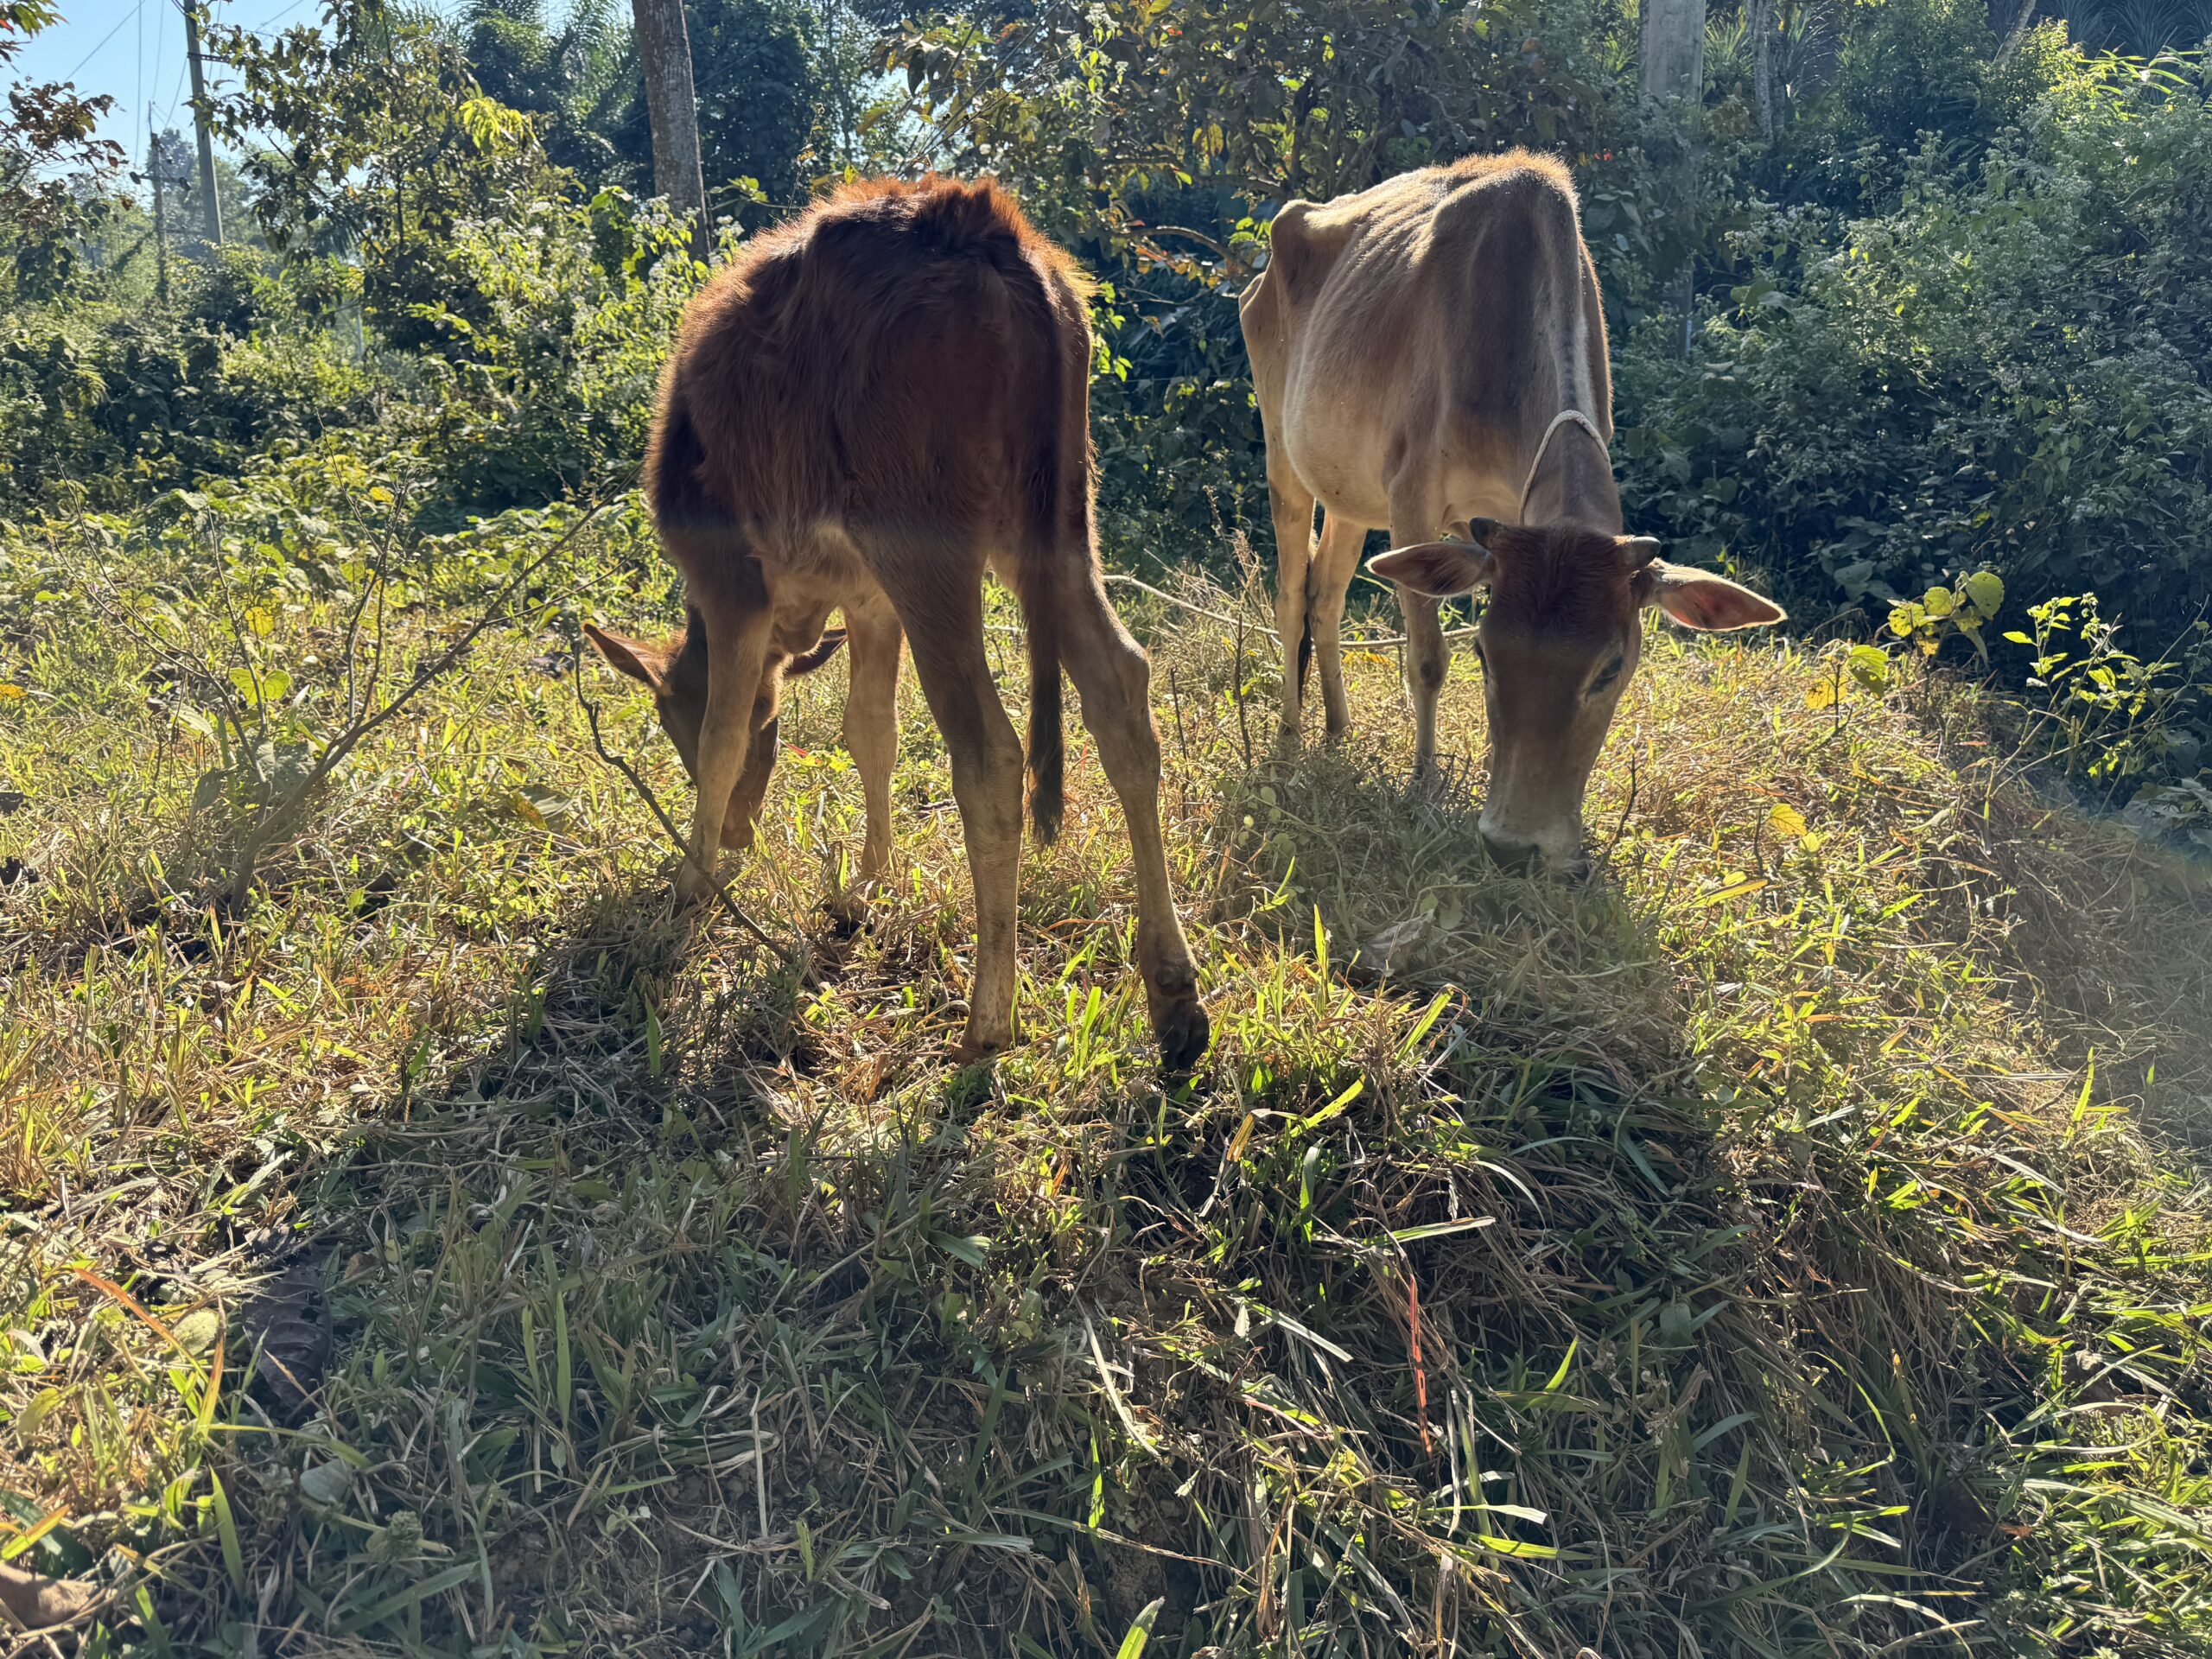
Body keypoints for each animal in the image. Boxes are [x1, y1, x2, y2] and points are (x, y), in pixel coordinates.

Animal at [585, 177, 1209, 1071]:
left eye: (665, 721)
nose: (739, 834)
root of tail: (985, 225)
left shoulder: (732, 579)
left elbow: (725, 736)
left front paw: (693, 883)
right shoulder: (869, 600)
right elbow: (867, 731)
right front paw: (867, 883)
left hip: (927, 542)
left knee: (990, 754)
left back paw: (989, 1020)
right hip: (1055, 526)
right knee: (1122, 694)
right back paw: (1173, 994)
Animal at [1239, 151, 1785, 868]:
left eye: (1612, 667)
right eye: (1485, 653)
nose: (1518, 847)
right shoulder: (1411, 495)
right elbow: (1426, 659)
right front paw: (1423, 787)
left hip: (1348, 494)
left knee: (1326, 598)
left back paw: (1338, 731)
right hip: (1283, 455)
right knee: (1290, 598)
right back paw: (1290, 736)